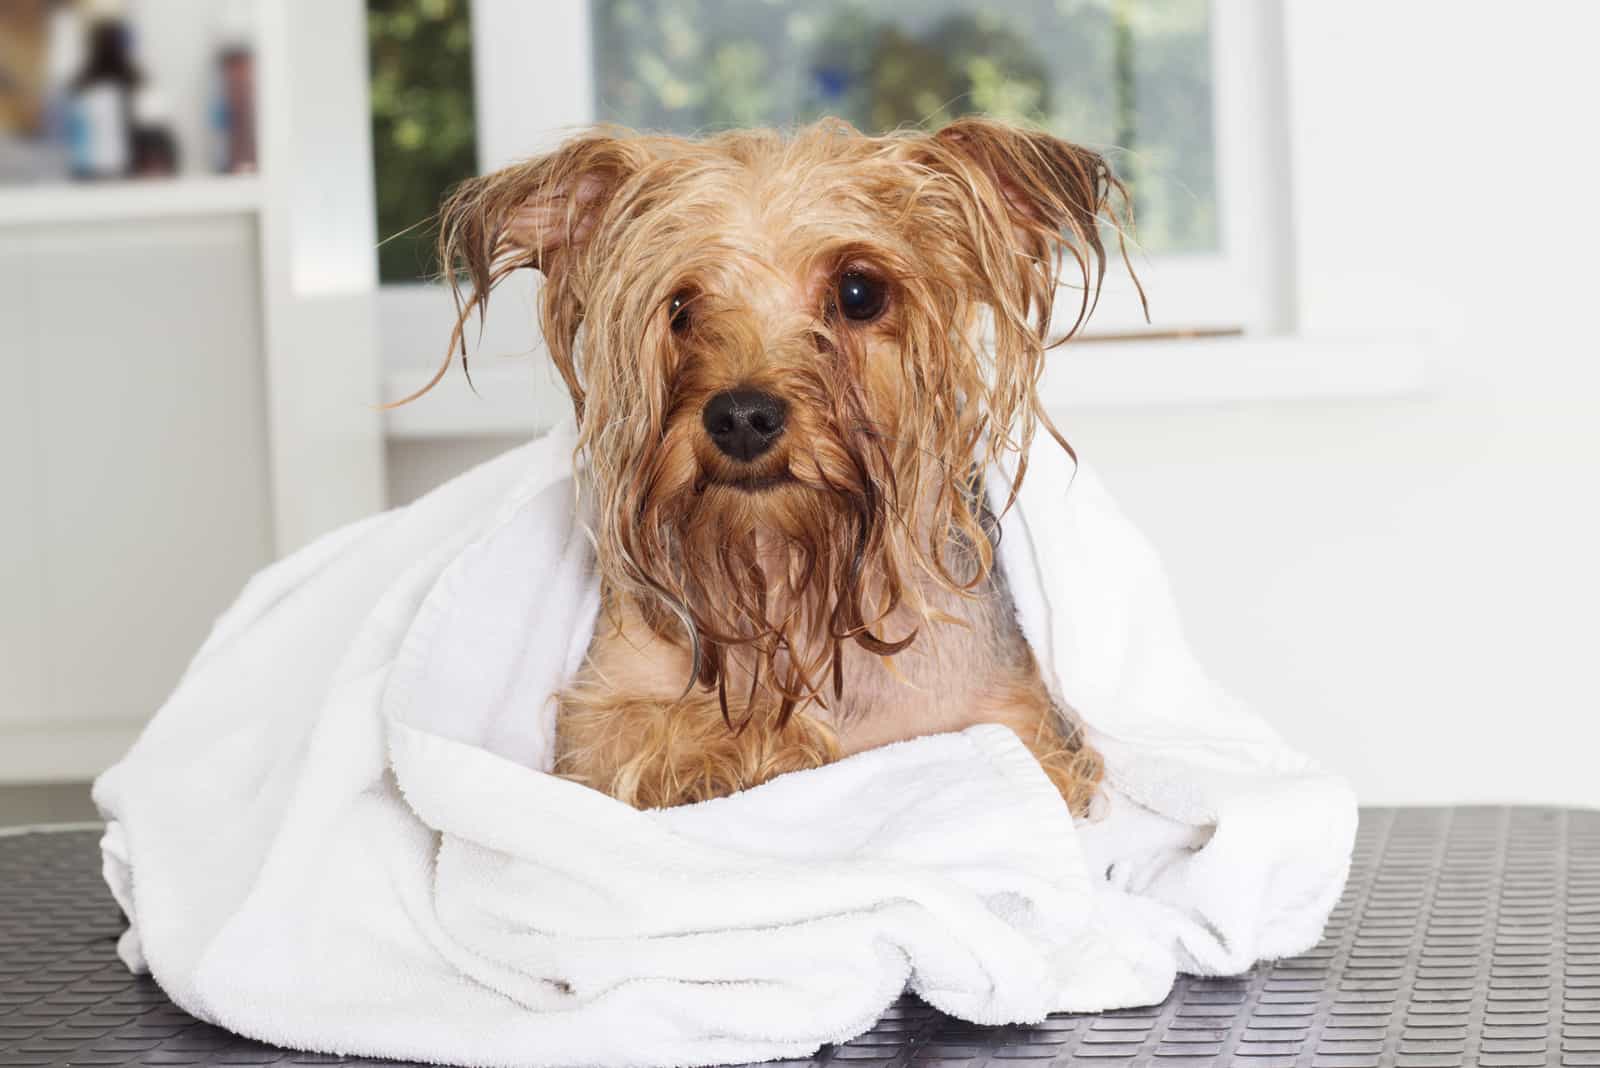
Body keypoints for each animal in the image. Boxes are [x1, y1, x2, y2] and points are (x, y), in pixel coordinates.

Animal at [419, 116, 1132, 812]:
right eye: (679, 306)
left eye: (859, 292)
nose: (740, 417)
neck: (790, 567)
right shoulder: (598, 716)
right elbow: (665, 738)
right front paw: (761, 744)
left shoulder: (1019, 731)